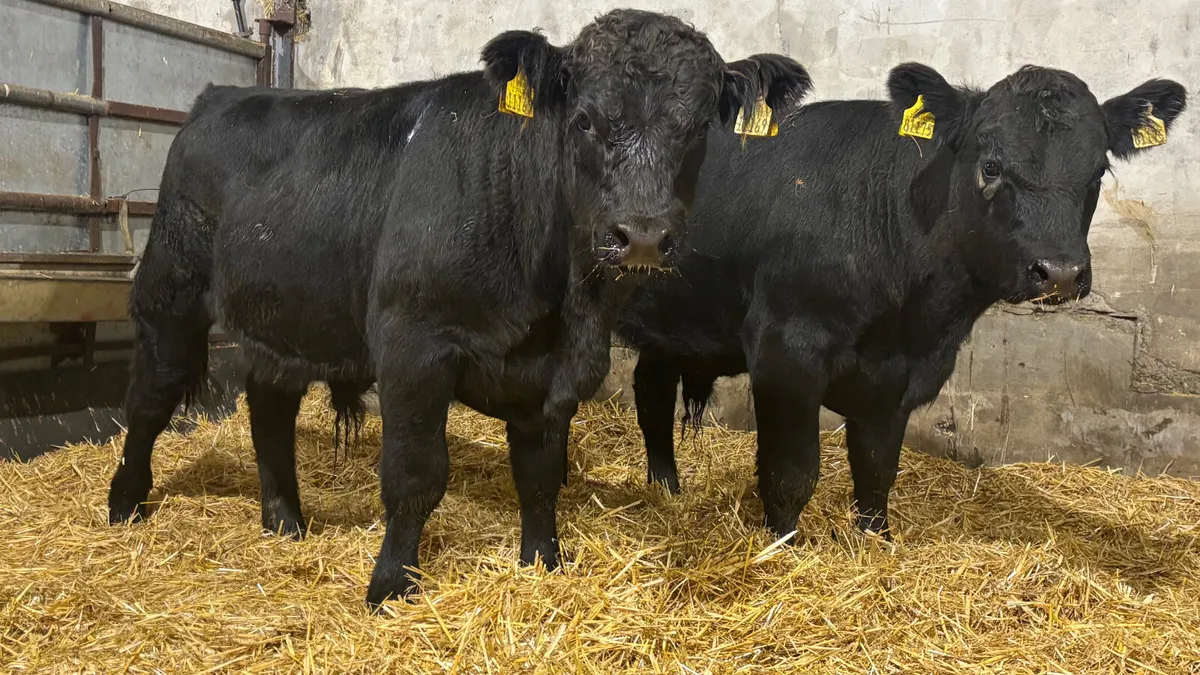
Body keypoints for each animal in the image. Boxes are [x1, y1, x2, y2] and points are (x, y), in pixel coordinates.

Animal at [104, 8, 813, 610]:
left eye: (696, 130)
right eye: (584, 120)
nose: (640, 235)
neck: (557, 303)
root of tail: (219, 96)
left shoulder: (554, 373)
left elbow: (539, 474)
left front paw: (543, 562)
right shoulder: (412, 346)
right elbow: (415, 474)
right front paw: (391, 585)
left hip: (285, 314)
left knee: (269, 402)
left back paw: (285, 521)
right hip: (171, 293)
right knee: (149, 398)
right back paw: (124, 502)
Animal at [616, 63, 1186, 544]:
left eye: (1098, 172)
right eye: (991, 165)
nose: (1060, 273)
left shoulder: (900, 376)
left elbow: (875, 470)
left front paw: (876, 541)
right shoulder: (786, 350)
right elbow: (790, 471)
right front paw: (781, 547)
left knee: (652, 391)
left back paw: (666, 488)